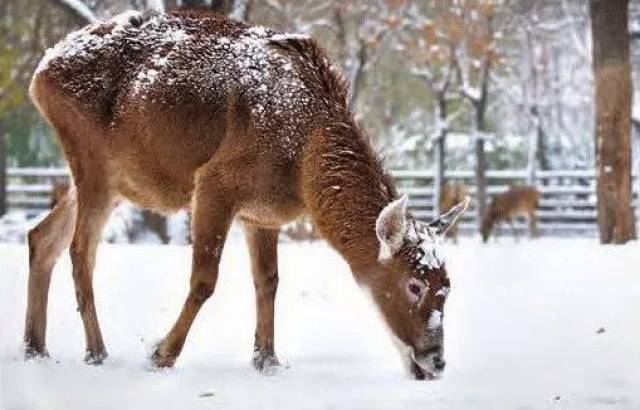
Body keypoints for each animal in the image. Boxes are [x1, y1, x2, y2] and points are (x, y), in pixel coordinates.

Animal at [26, 8, 464, 382]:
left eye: (448, 284)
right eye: (414, 284)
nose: (436, 362)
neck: (303, 167)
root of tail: (40, 73)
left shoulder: (262, 213)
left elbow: (268, 281)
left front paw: (266, 359)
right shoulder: (214, 181)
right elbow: (205, 279)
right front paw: (161, 354)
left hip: (113, 178)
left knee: (41, 236)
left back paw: (35, 347)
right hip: (92, 158)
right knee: (81, 250)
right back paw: (96, 351)